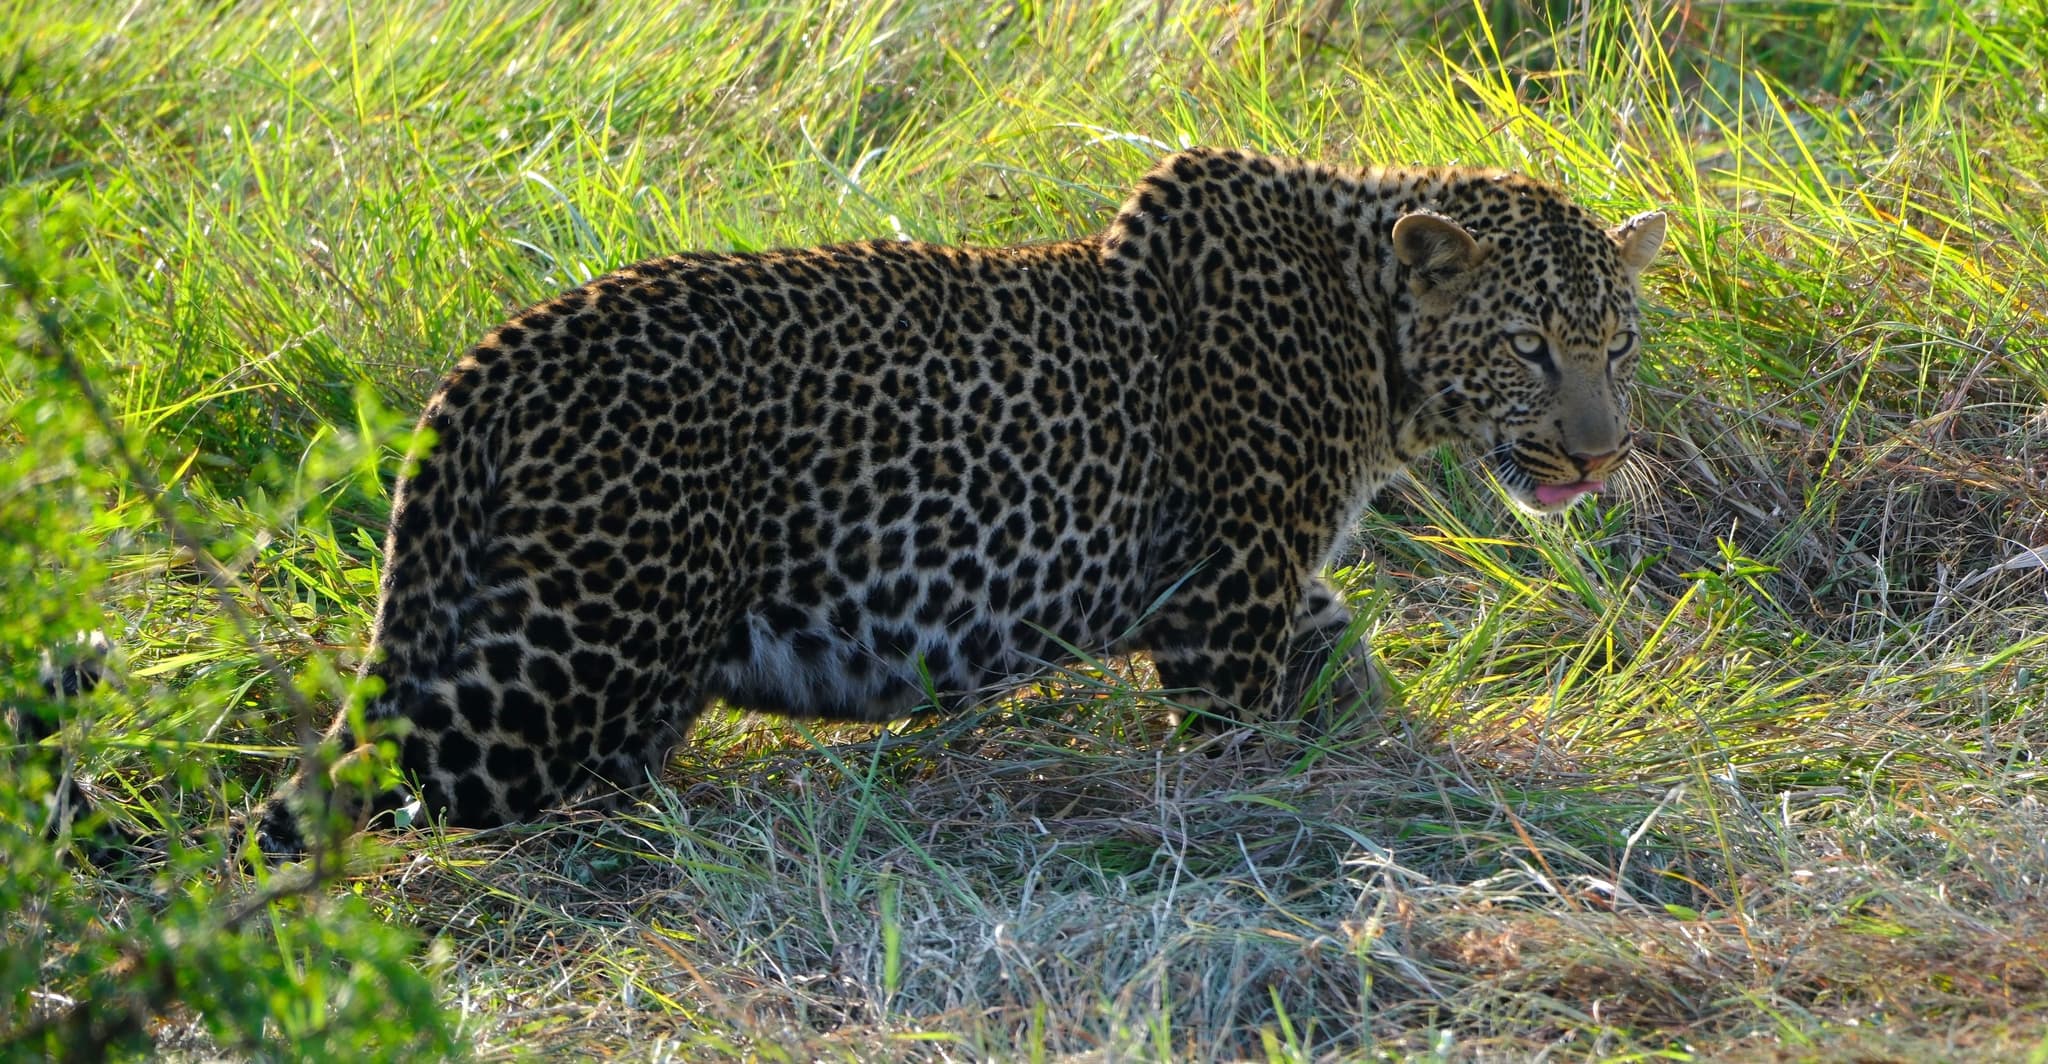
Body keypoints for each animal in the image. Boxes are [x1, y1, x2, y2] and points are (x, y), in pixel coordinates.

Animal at [254, 147, 1666, 854]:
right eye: (1530, 346)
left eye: (1617, 344)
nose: (1599, 456)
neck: (1370, 337)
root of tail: (493, 358)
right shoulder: (1222, 599)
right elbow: (1245, 743)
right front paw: (1284, 822)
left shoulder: (1263, 584)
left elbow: (1342, 660)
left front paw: (1393, 765)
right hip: (571, 654)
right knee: (324, 790)